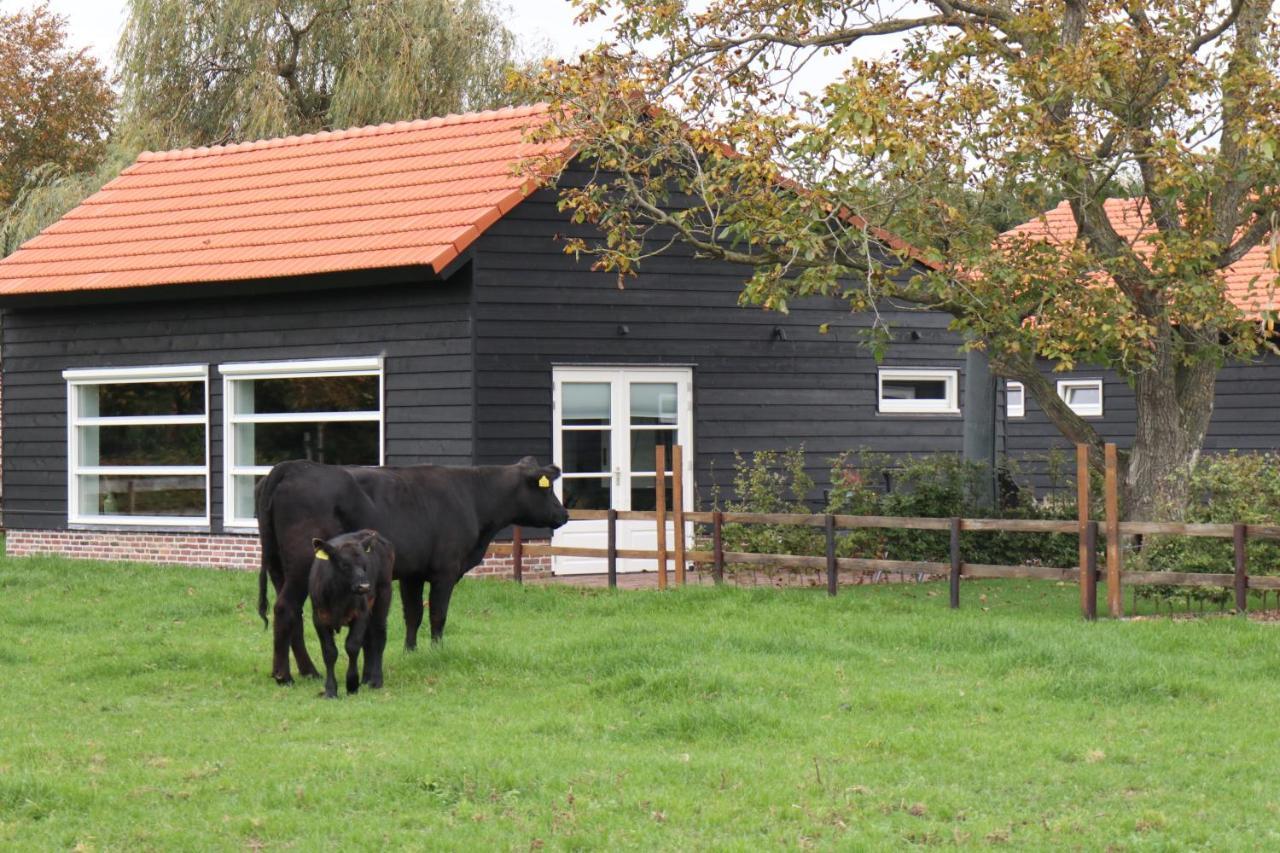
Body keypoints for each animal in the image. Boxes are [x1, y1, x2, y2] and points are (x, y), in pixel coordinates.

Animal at [305, 532, 394, 696]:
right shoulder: (319, 619)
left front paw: (352, 684)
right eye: (344, 565)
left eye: (365, 566)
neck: (338, 598)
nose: (364, 586)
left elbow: (352, 646)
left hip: (383, 596)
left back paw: (376, 680)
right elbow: (329, 652)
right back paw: (366, 678)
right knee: (368, 640)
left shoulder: (361, 614)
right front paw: (330, 690)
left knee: (379, 637)